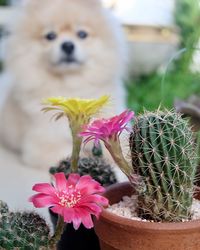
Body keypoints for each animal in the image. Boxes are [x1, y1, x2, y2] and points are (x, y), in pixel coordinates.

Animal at [0, 0, 125, 170]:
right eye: (50, 36)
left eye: (82, 34)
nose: (67, 45)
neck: (71, 87)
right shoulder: (43, 145)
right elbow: (74, 153)